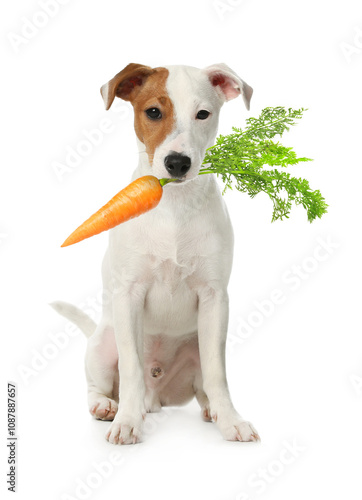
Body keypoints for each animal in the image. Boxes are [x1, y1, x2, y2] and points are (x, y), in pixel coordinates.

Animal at [53, 63, 260, 446]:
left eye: (203, 114)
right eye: (153, 112)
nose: (177, 163)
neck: (173, 205)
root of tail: (157, 398)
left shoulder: (215, 298)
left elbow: (217, 372)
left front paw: (231, 420)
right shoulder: (128, 294)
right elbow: (132, 367)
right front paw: (126, 423)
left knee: (203, 385)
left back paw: (209, 409)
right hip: (103, 342)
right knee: (101, 384)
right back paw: (108, 406)